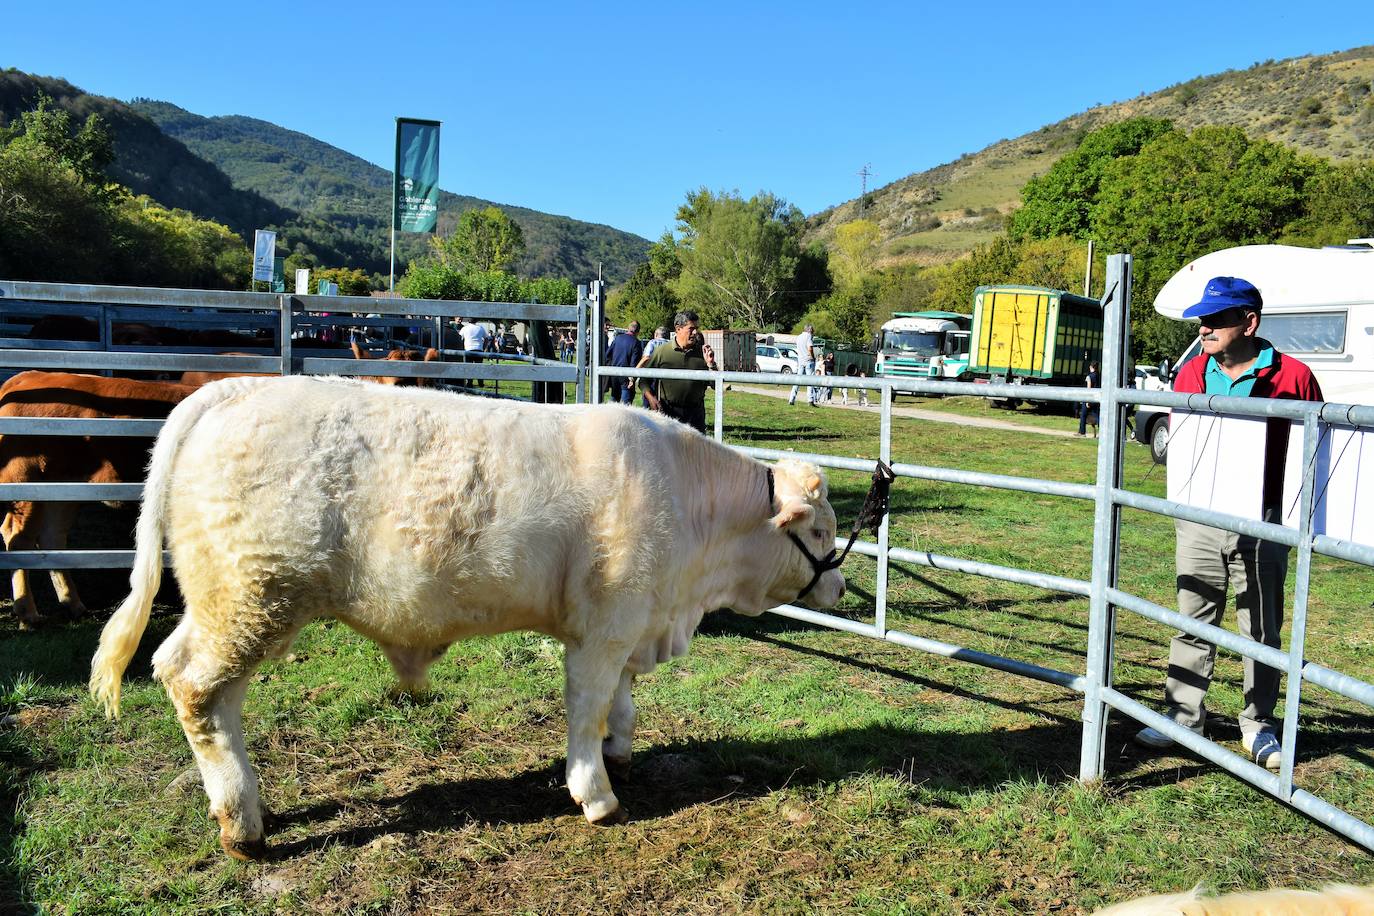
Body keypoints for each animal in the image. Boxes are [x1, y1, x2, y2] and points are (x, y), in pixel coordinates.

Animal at [0, 370, 199, 623]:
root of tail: (26, 376)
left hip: (61, 490)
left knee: (51, 536)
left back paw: (73, 604)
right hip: (27, 484)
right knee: (19, 540)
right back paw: (29, 614)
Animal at [88, 373, 846, 862]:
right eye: (819, 530)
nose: (839, 585)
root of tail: (231, 390)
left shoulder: (631, 622)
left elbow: (623, 703)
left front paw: (622, 754)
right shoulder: (601, 629)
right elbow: (587, 708)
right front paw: (596, 793)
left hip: (236, 603)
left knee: (203, 689)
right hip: (249, 598)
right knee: (194, 687)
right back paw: (242, 826)